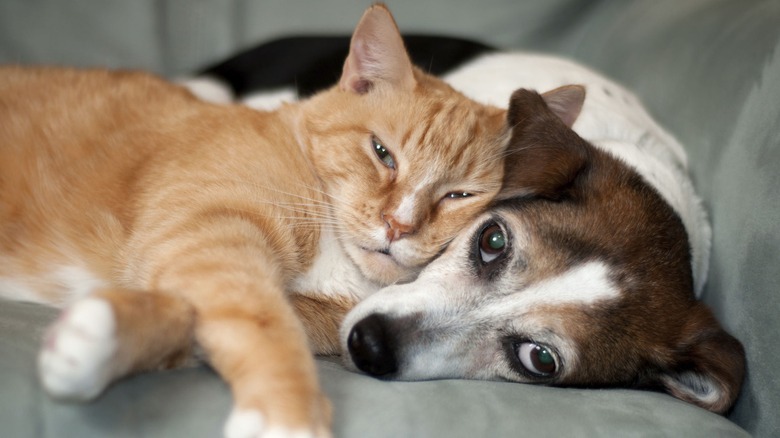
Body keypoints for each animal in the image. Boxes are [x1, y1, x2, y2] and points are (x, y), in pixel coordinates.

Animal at [0, 4, 584, 438]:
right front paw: (287, 414)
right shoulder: (212, 235)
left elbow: (192, 321)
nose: (397, 225)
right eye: (383, 154)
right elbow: (262, 322)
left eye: (459, 194)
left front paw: (95, 339)